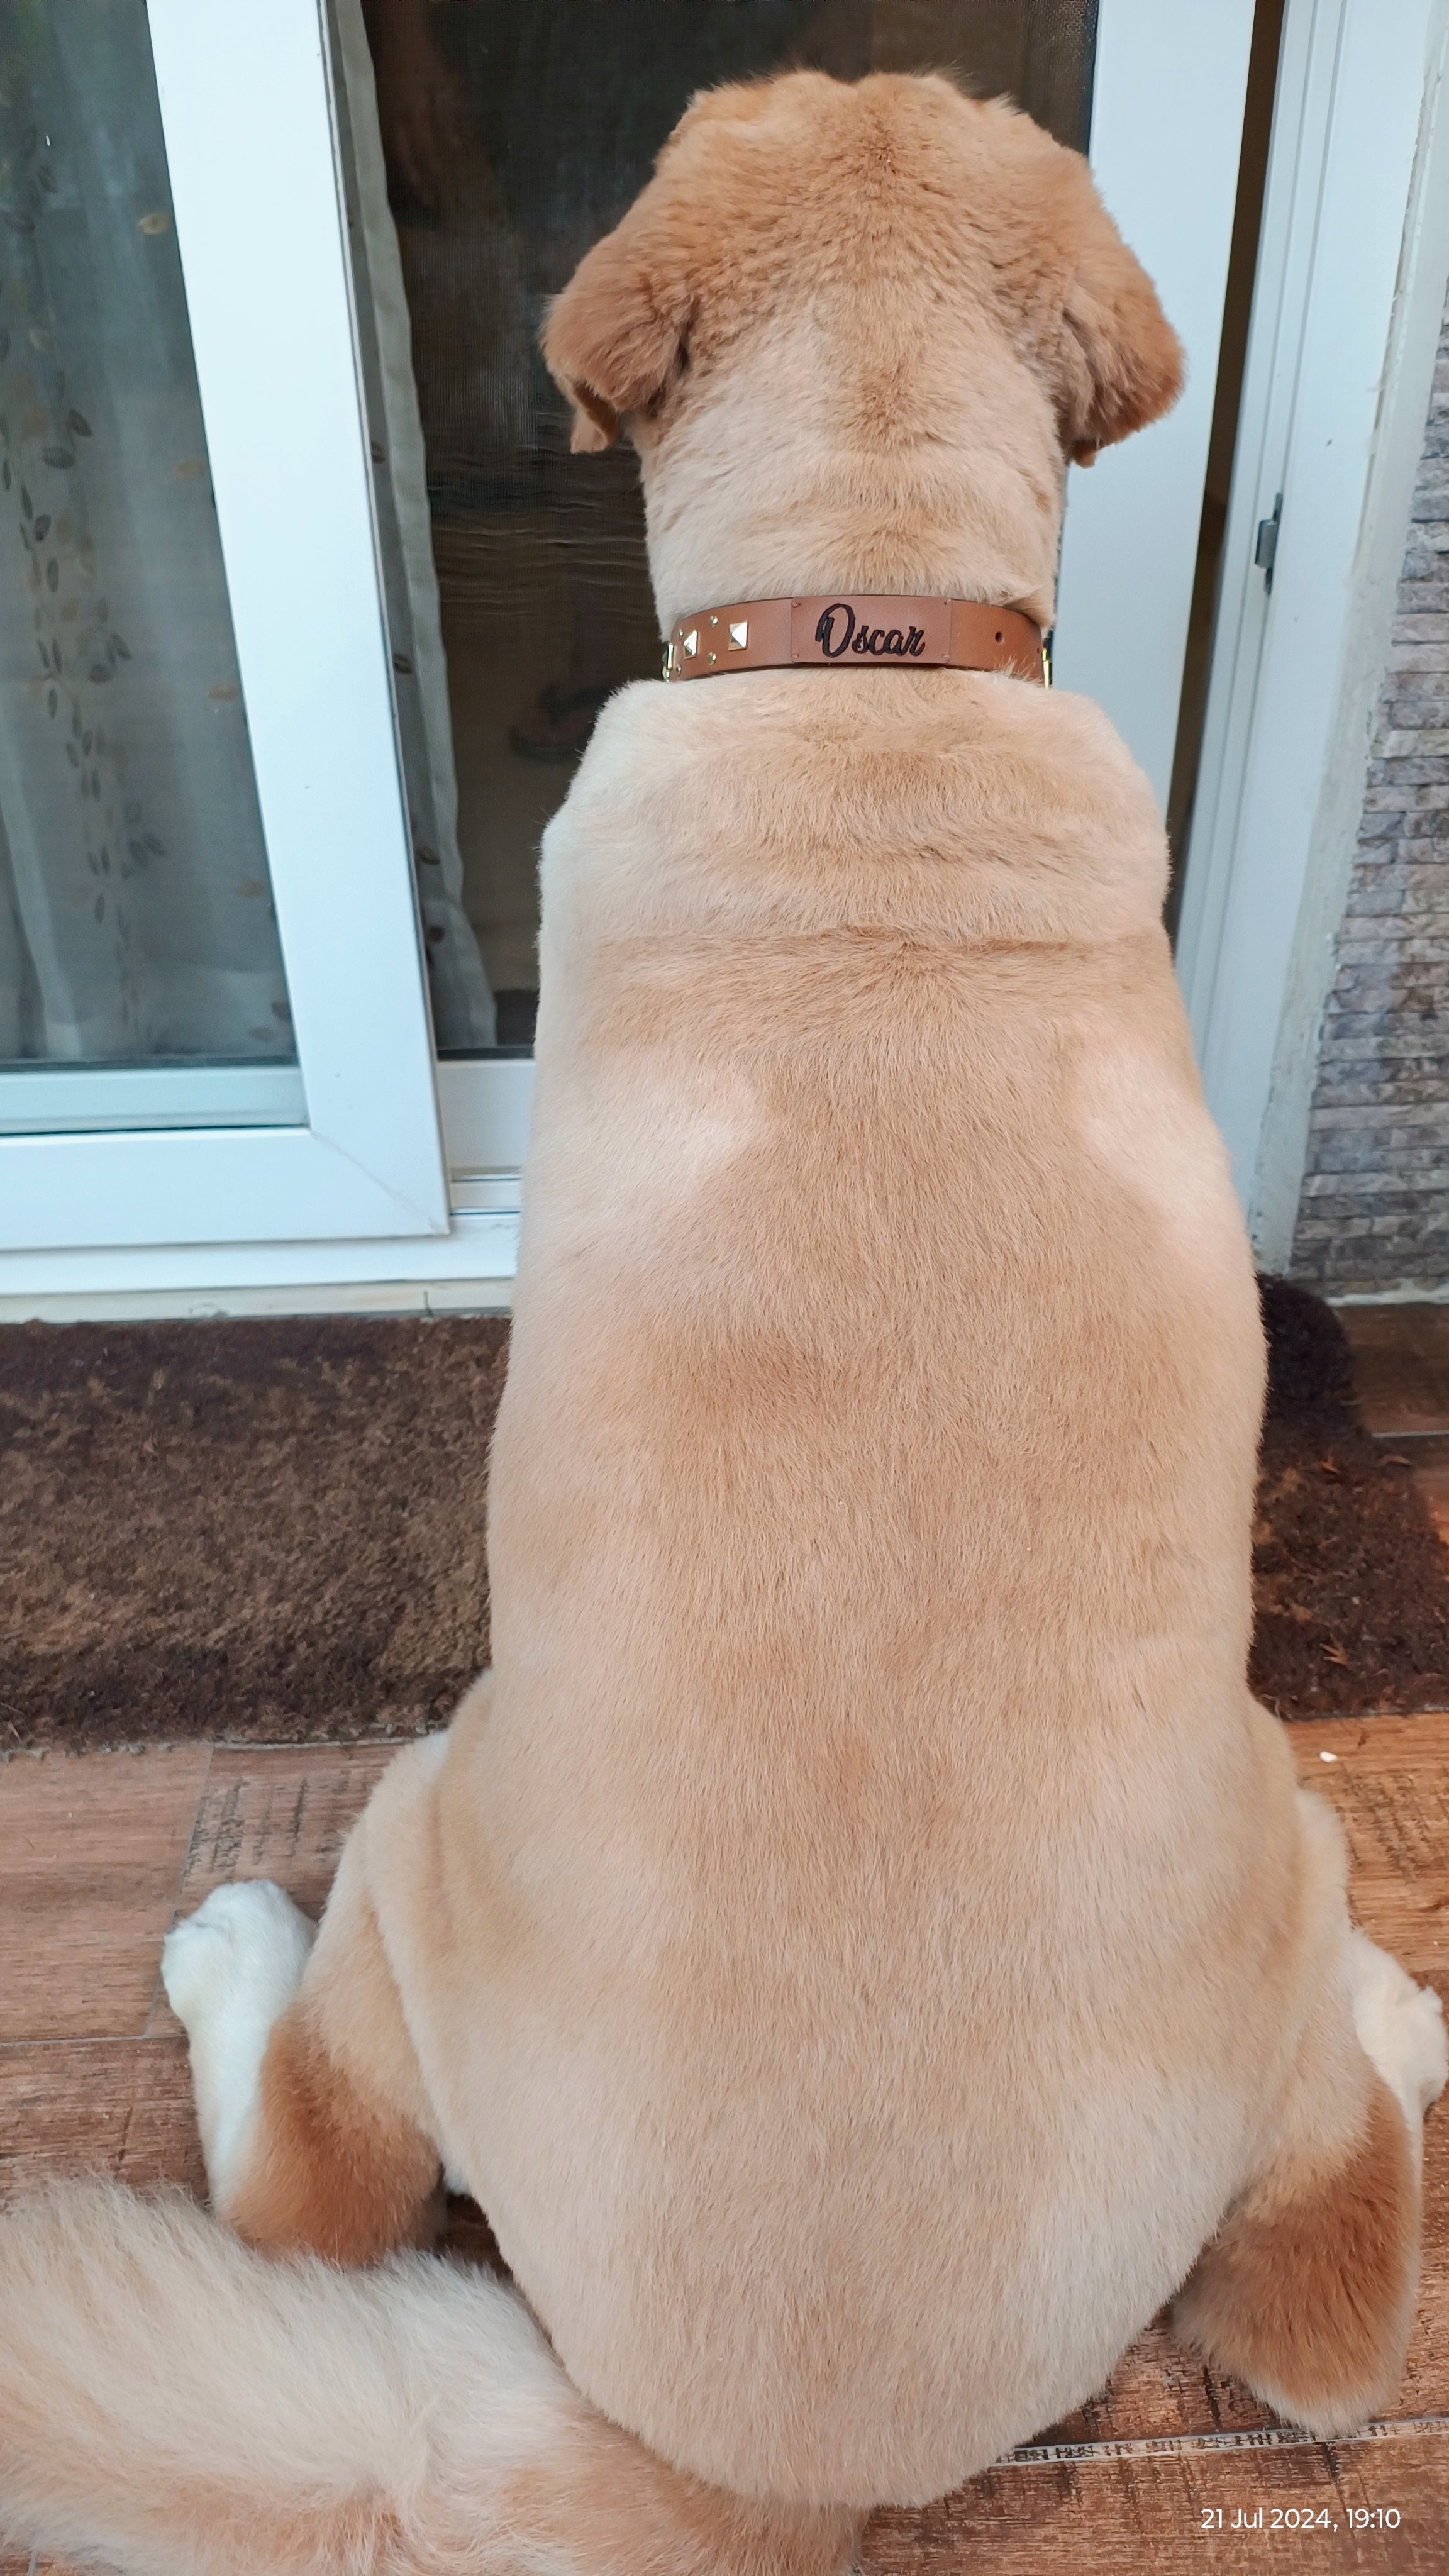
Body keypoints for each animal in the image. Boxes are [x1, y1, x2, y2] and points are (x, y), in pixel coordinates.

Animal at [3, 65, 1443, 2576]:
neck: (875, 657)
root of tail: (768, 2456)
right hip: (1285, 1840)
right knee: (1341, 2298)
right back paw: (1408, 2020)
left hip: (425, 1823)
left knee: (312, 2180)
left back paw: (225, 1953)